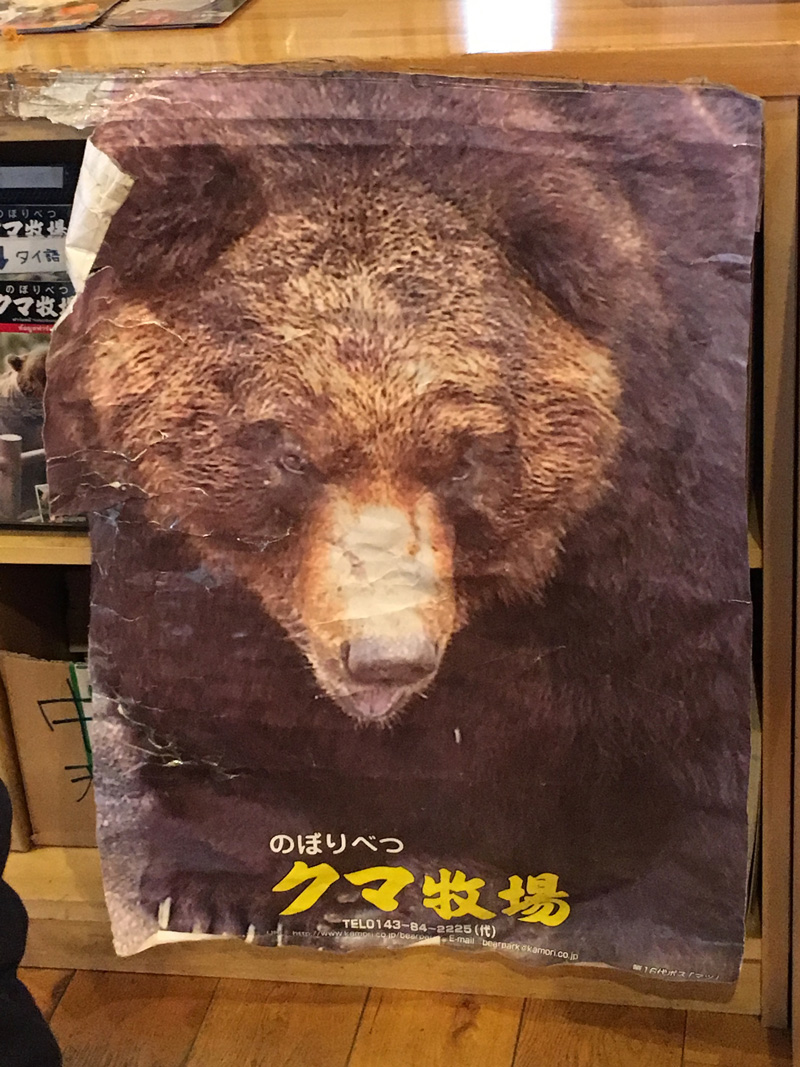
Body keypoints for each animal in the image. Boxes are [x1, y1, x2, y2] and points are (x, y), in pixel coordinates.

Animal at [44, 72, 761, 978]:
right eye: (288, 450)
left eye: (465, 456)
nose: (387, 656)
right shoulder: (176, 563)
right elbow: (202, 700)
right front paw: (225, 881)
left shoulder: (650, 534)